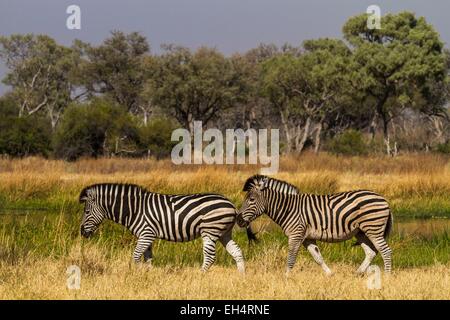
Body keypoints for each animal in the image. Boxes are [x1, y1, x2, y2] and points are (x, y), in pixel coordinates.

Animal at [79, 182, 251, 272]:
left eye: (86, 212)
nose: (82, 232)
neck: (135, 209)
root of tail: (231, 205)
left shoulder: (146, 233)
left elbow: (136, 256)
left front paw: (136, 275)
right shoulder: (147, 236)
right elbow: (148, 258)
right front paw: (148, 275)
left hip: (210, 231)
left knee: (209, 257)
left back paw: (201, 276)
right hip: (224, 233)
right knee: (237, 251)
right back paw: (241, 277)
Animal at [237, 175, 392, 276]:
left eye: (251, 199)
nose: (238, 220)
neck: (289, 208)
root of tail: (383, 199)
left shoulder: (296, 235)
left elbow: (291, 258)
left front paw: (285, 278)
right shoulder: (307, 238)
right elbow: (318, 258)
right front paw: (330, 275)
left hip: (373, 229)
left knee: (385, 251)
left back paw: (387, 277)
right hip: (361, 232)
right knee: (371, 252)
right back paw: (357, 273)